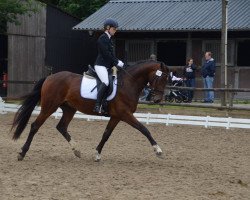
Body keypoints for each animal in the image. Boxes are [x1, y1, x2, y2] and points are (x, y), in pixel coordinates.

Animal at [11, 60, 168, 162]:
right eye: (160, 78)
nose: (157, 100)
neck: (128, 84)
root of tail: (50, 77)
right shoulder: (125, 114)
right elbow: (144, 129)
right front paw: (158, 150)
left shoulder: (116, 116)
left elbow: (106, 134)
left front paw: (97, 154)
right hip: (49, 107)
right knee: (35, 126)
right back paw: (22, 153)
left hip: (69, 109)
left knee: (61, 127)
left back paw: (77, 151)